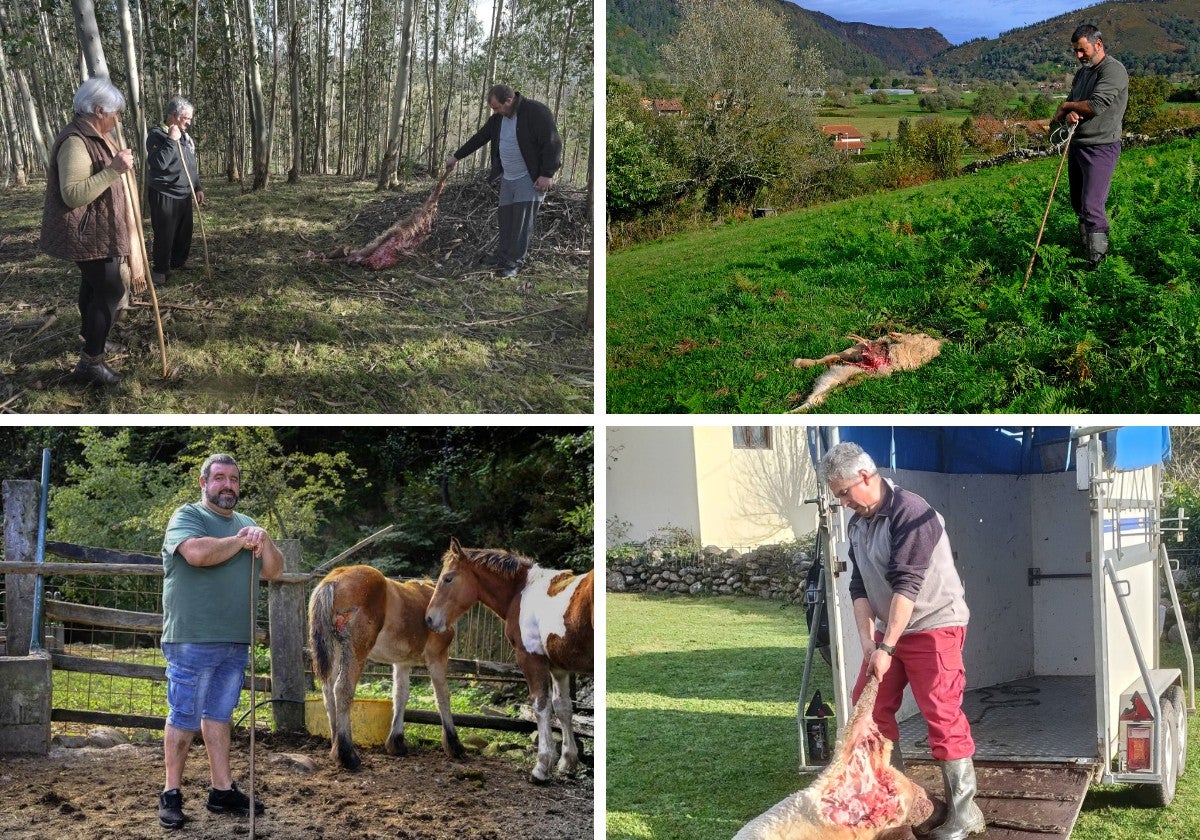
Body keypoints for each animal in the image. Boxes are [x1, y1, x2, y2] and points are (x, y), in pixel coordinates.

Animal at [307, 564, 465, 772]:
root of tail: (333, 580)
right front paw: (454, 744)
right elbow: (442, 697)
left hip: (336, 650)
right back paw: (347, 755)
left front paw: (396, 742)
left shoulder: (402, 663)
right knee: (342, 690)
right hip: (356, 650)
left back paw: (336, 747)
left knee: (328, 693)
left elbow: (400, 695)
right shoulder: (437, 658)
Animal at [424, 537, 592, 782]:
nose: (429, 618)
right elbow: (563, 708)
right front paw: (568, 761)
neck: (521, 592)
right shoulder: (558, 667)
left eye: (448, 578)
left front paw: (542, 767)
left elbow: (541, 705)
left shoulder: (531, 659)